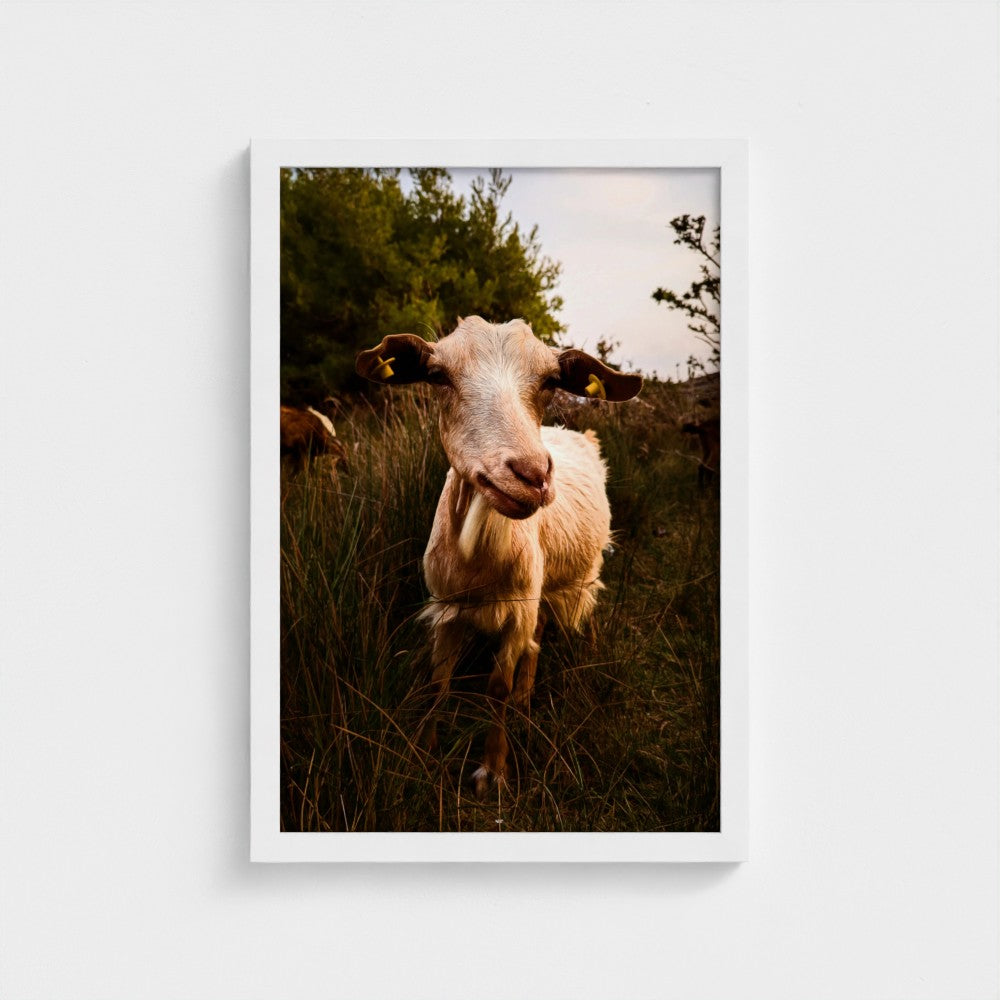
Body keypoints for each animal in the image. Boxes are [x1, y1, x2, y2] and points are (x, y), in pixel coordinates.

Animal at [357, 316, 641, 796]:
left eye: (550, 381)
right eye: (438, 376)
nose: (532, 475)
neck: (479, 564)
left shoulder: (517, 610)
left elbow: (497, 687)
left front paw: (492, 771)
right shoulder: (447, 607)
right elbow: (437, 684)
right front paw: (423, 754)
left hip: (576, 577)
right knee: (538, 634)